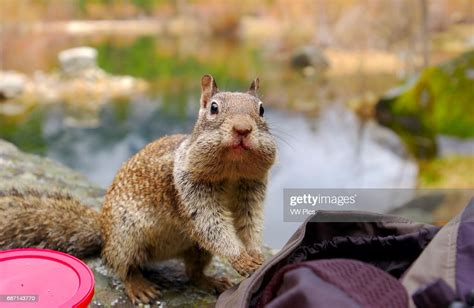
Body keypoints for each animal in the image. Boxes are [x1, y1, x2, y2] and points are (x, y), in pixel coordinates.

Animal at [0, 74, 278, 304]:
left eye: (262, 109)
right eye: (213, 108)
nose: (242, 129)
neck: (232, 172)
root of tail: (103, 231)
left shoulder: (251, 193)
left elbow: (250, 224)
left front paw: (256, 255)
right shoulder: (192, 193)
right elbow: (212, 226)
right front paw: (241, 259)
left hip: (196, 249)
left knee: (192, 271)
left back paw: (211, 281)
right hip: (127, 237)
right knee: (123, 267)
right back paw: (139, 286)